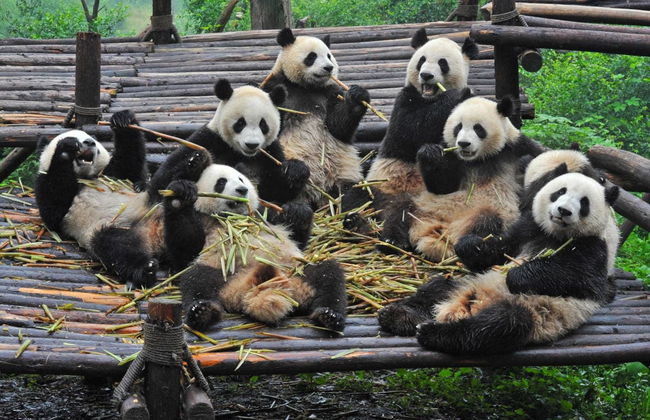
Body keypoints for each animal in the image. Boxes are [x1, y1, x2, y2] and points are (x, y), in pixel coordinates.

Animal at [34, 111, 159, 287]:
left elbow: (130, 163)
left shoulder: (111, 175)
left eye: (91, 139)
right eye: (76, 138)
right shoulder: (44, 183)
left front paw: (122, 120)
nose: (89, 142)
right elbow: (52, 210)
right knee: (114, 247)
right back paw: (146, 269)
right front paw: (66, 148)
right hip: (106, 228)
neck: (84, 177)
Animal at [149, 79, 311, 210]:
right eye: (240, 123)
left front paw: (295, 170)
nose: (251, 144)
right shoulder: (208, 139)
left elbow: (275, 193)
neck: (240, 152)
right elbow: (159, 184)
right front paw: (197, 163)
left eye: (263, 124)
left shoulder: (270, 152)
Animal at [161, 171, 346, 333]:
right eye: (221, 182)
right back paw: (202, 312)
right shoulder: (204, 220)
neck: (231, 216)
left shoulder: (264, 215)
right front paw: (179, 195)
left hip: (297, 273)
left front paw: (297, 212)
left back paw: (329, 315)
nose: (242, 190)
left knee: (329, 275)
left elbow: (297, 238)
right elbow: (185, 249)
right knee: (197, 278)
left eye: (241, 179)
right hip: (223, 276)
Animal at [263, 28, 371, 207]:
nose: (329, 67)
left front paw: (358, 96)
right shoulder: (276, 88)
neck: (307, 87)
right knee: (276, 183)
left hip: (343, 173)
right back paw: (295, 175)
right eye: (312, 56)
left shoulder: (330, 93)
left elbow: (338, 125)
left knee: (355, 192)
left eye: (329, 55)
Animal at [379, 95, 536, 261]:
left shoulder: (515, 146)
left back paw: (471, 246)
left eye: (478, 128)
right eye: (458, 127)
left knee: (488, 221)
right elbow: (443, 187)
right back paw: (393, 241)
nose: (463, 143)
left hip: (487, 210)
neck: (478, 160)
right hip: (423, 203)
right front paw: (429, 153)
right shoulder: (452, 155)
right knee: (401, 209)